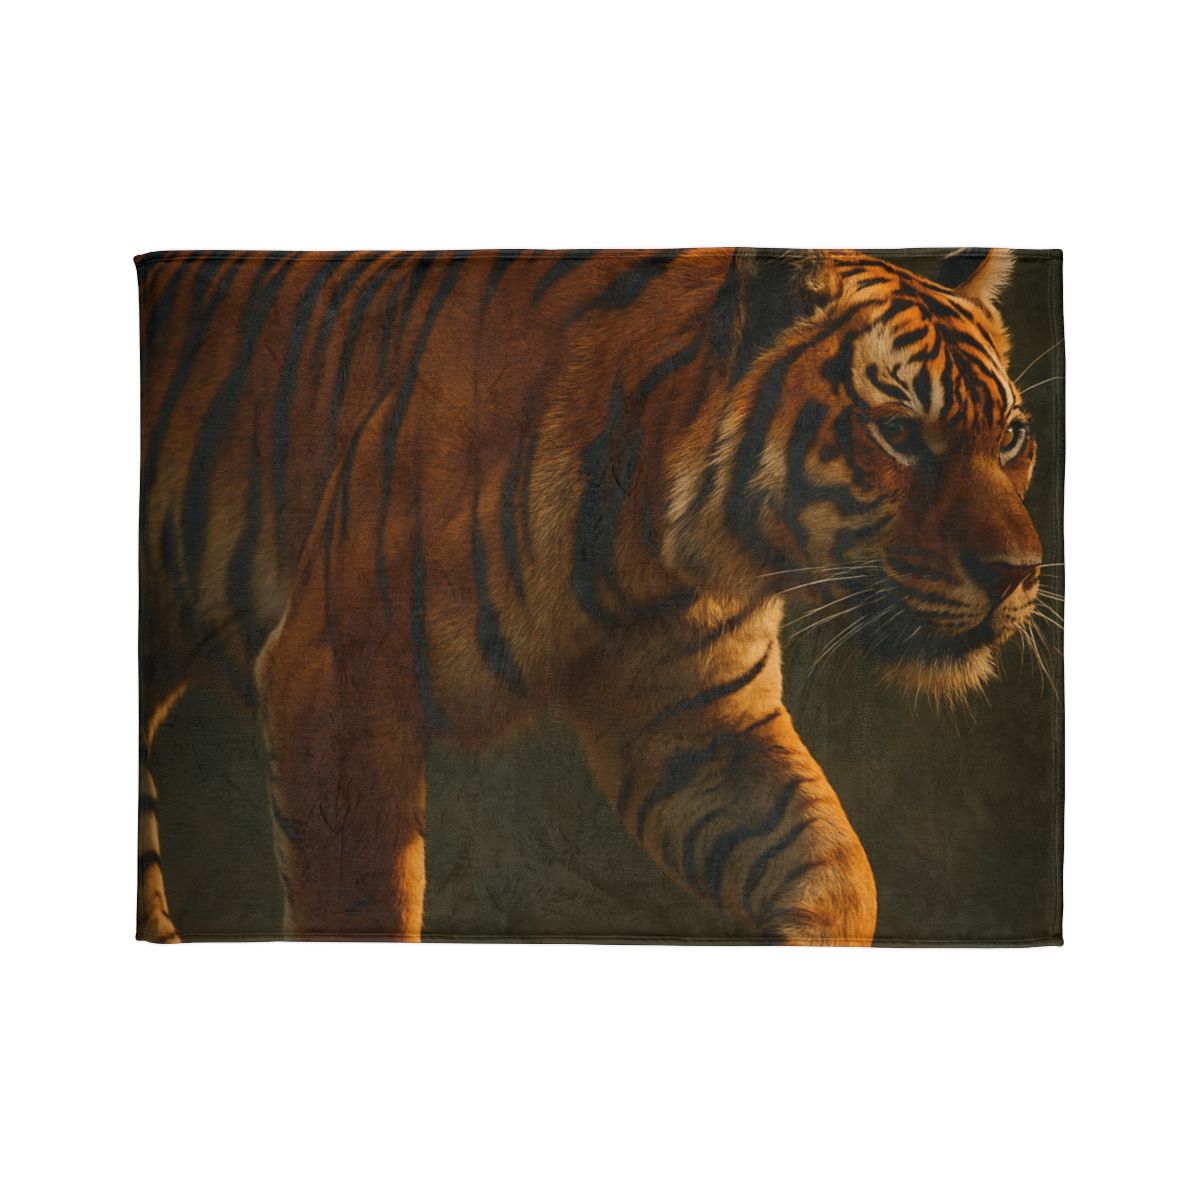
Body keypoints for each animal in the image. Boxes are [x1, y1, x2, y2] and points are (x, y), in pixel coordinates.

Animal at [137, 246, 1045, 945]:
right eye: (896, 432)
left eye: (1010, 437)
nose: (1017, 571)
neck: (658, 552)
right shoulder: (337, 677)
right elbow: (359, 903)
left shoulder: (702, 727)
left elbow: (837, 870)